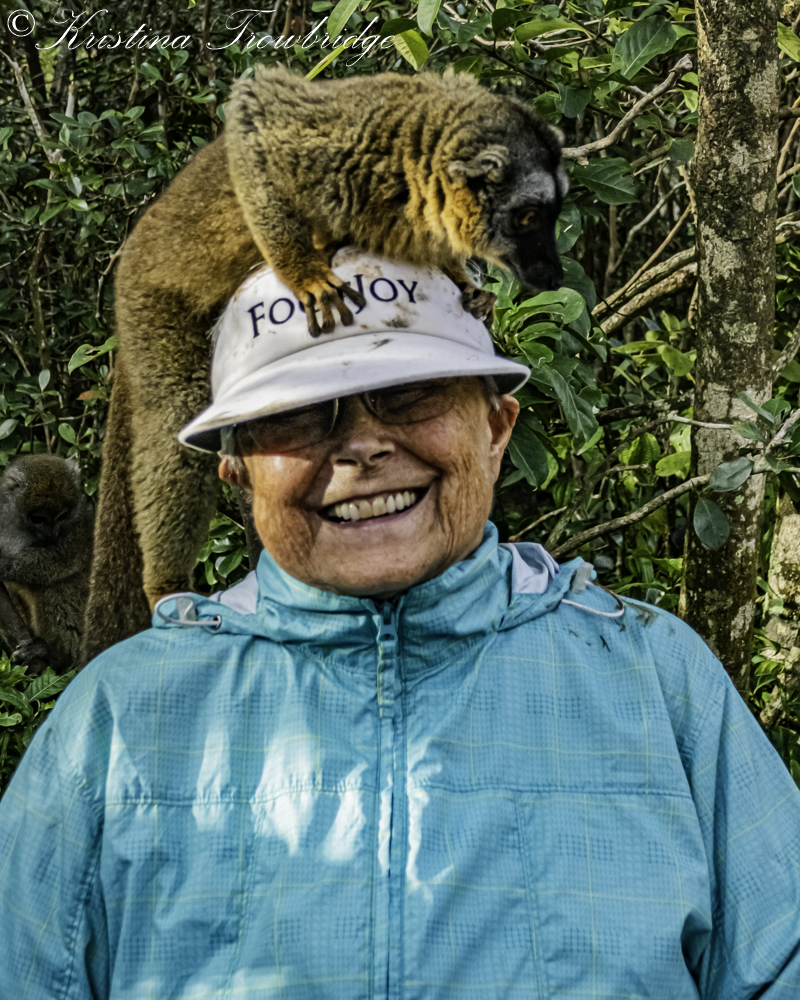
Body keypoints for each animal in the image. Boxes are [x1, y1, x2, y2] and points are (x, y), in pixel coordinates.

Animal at [0, 456, 94, 675]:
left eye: (62, 516)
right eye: (37, 519)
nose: (51, 534)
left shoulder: (78, 530)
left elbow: (58, 561)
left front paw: (2, 565)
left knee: (53, 590)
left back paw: (53, 652)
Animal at [82, 66, 568, 662]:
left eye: (550, 217)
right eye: (527, 218)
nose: (552, 273)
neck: (410, 166)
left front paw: (464, 282)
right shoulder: (339, 143)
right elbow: (254, 109)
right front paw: (303, 271)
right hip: (149, 302)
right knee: (177, 410)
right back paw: (165, 585)